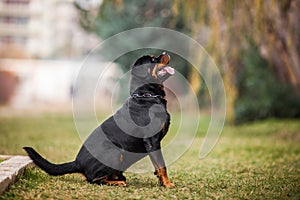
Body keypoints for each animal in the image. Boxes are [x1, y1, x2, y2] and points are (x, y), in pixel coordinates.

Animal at [25, 51, 176, 188]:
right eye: (153, 59)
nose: (165, 52)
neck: (146, 95)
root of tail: (77, 162)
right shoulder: (152, 141)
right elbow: (162, 165)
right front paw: (167, 184)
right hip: (115, 152)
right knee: (94, 179)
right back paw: (117, 182)